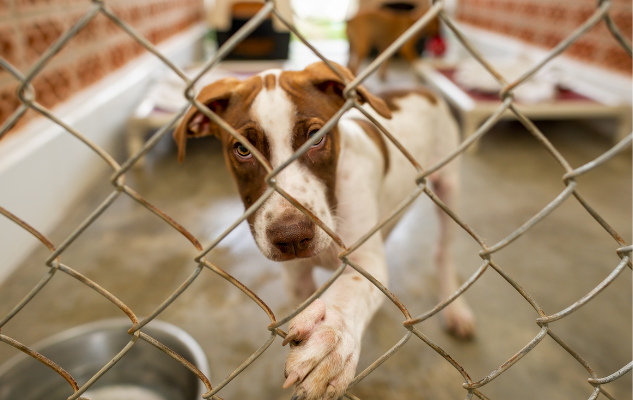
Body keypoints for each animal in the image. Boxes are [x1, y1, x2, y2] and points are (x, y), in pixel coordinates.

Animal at [173, 61, 474, 398]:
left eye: (316, 137)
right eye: (241, 149)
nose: (291, 237)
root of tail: (419, 87)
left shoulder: (364, 259)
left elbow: (352, 288)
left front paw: (333, 337)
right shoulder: (296, 277)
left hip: (448, 187)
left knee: (443, 251)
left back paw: (456, 309)